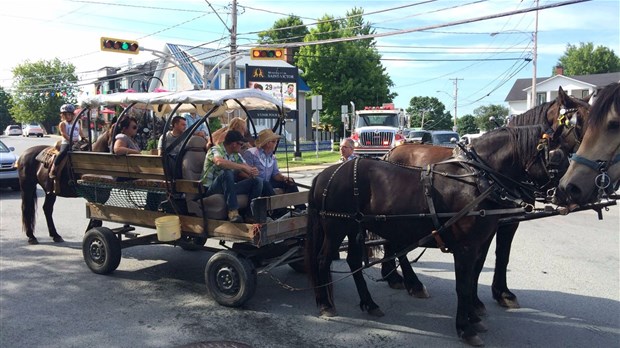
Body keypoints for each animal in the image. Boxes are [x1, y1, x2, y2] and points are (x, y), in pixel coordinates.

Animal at [308, 125, 564, 346]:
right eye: (557, 155)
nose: (567, 191)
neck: (478, 181)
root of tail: (325, 174)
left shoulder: (479, 244)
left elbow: (472, 279)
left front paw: (474, 316)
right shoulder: (466, 248)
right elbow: (463, 285)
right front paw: (465, 327)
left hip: (353, 227)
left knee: (353, 261)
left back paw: (369, 303)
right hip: (336, 226)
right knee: (322, 259)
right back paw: (325, 303)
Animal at [378, 85, 592, 312]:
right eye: (581, 122)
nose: (572, 186)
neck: (487, 172)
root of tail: (392, 152)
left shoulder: (506, 221)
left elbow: (500, 256)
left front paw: (499, 294)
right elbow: (483, 259)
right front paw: (482, 298)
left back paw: (393, 277)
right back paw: (413, 283)